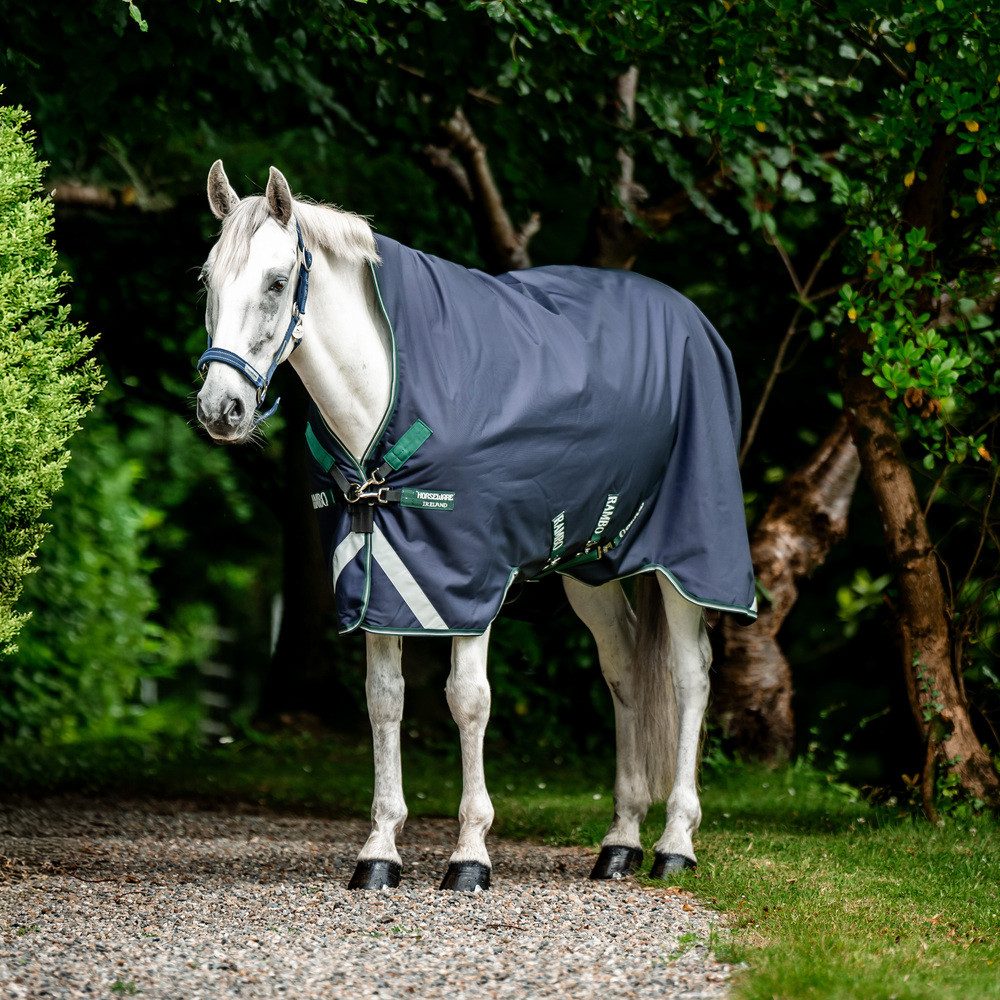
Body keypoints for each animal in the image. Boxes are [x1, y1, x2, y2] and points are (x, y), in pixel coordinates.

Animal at [195, 161, 756, 892]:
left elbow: (467, 699)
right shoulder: (380, 579)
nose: (221, 409)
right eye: (208, 279)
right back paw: (620, 842)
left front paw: (469, 855)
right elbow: (384, 700)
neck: (388, 393)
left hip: (684, 560)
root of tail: (696, 321)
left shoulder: (469, 580)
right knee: (626, 670)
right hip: (592, 567)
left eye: (276, 282)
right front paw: (379, 853)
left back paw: (675, 844)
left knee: (690, 675)